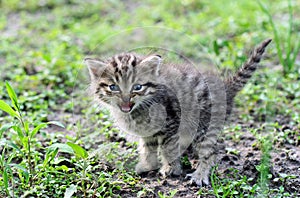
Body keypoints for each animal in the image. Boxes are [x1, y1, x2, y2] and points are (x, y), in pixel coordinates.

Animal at [84, 38, 272, 186]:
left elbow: (168, 147)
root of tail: (225, 87)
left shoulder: (171, 121)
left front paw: (170, 168)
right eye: (113, 87)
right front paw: (148, 165)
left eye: (137, 87)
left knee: (211, 151)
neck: (138, 109)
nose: (125, 101)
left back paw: (200, 174)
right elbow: (148, 148)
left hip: (204, 124)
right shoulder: (148, 131)